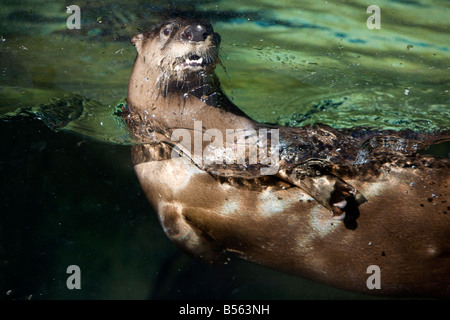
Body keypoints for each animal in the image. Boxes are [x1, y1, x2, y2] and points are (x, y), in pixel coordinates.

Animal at [123, 16, 450, 298]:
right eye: (167, 30)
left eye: (210, 25)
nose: (198, 31)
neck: (201, 136)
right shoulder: (161, 197)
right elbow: (180, 236)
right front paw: (217, 259)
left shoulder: (267, 146)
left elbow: (297, 167)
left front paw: (335, 195)